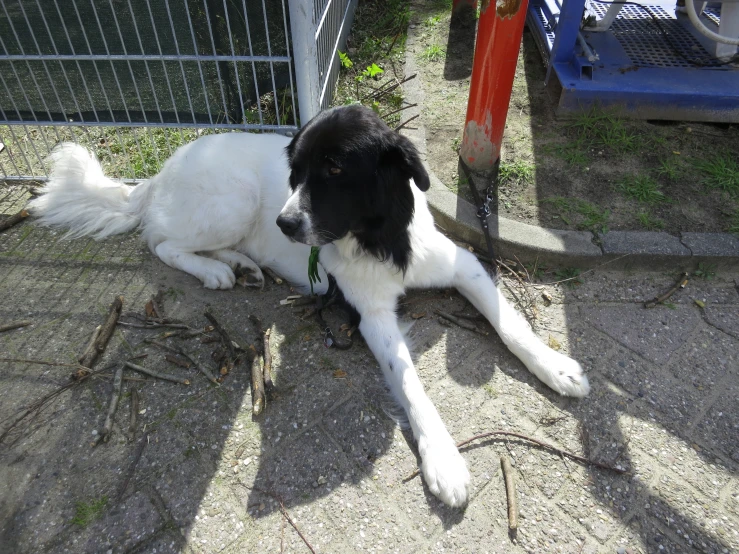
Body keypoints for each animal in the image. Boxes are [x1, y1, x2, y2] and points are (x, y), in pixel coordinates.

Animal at [31, 105, 592, 506]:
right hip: (231, 202)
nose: (284, 224)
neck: (381, 239)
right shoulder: (371, 316)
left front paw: (555, 366)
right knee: (161, 242)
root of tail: (160, 173)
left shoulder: (464, 265)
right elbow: (412, 385)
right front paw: (444, 459)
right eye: (295, 173)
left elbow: (508, 321)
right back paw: (216, 271)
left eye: (335, 168)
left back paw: (243, 264)